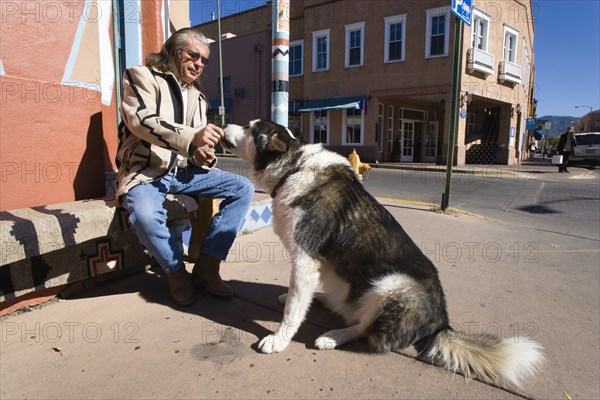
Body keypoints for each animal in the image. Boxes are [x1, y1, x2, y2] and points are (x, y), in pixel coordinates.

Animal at [221, 119, 544, 388]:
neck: (293, 167)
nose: (223, 124)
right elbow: (297, 299)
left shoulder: (304, 260)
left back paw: (333, 336)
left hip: (391, 285)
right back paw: (324, 300)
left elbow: (292, 312)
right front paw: (292, 302)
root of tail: (441, 322)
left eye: (251, 128)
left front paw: (278, 339)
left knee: (365, 329)